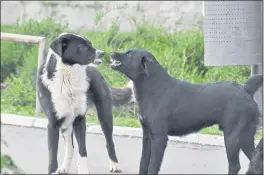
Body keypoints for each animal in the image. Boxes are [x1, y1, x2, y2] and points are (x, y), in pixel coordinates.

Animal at [37, 32, 134, 174]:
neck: (68, 77)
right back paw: (64, 167)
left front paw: (83, 171)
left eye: (90, 44)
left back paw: (115, 165)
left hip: (105, 116)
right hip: (66, 124)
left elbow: (82, 150)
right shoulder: (53, 124)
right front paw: (53, 171)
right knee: (70, 147)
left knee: (109, 142)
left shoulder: (80, 120)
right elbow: (53, 155)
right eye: (82, 46)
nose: (102, 53)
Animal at [109, 48, 262, 174]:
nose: (112, 53)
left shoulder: (159, 138)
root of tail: (245, 88)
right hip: (245, 136)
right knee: (255, 162)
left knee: (235, 165)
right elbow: (143, 164)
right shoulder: (147, 135)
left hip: (232, 136)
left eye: (129, 54)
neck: (154, 87)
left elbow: (152, 166)